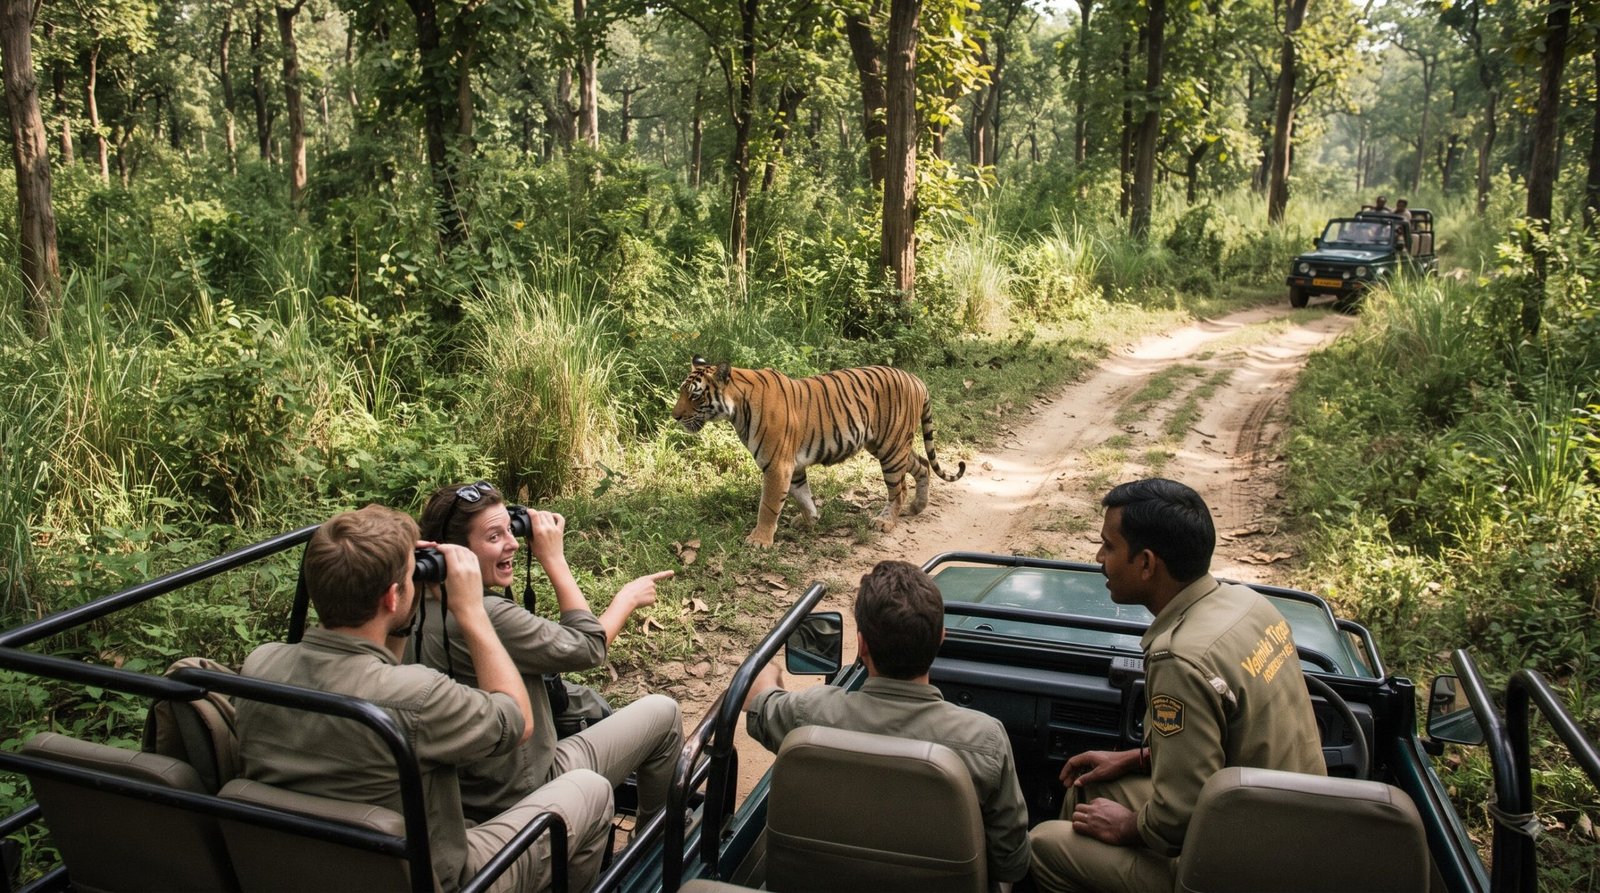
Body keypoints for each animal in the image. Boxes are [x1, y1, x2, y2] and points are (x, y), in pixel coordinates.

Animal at [672, 357, 966, 547]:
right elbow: (802, 496)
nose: (675, 416)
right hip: (889, 445)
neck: (737, 408)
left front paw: (759, 540)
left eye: (695, 395)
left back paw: (886, 522)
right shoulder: (793, 466)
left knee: (899, 488)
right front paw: (810, 521)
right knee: (922, 465)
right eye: (681, 392)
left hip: (891, 448)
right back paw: (917, 507)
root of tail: (916, 379)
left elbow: (769, 505)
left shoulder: (777, 465)